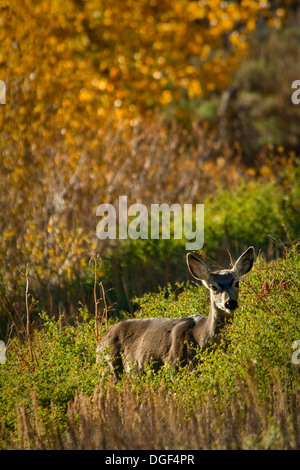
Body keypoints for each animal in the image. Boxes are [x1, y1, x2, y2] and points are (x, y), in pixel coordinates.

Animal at [96, 246, 255, 378]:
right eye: (213, 287)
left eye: (237, 283)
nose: (230, 303)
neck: (202, 338)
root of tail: (100, 342)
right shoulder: (172, 364)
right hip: (109, 368)